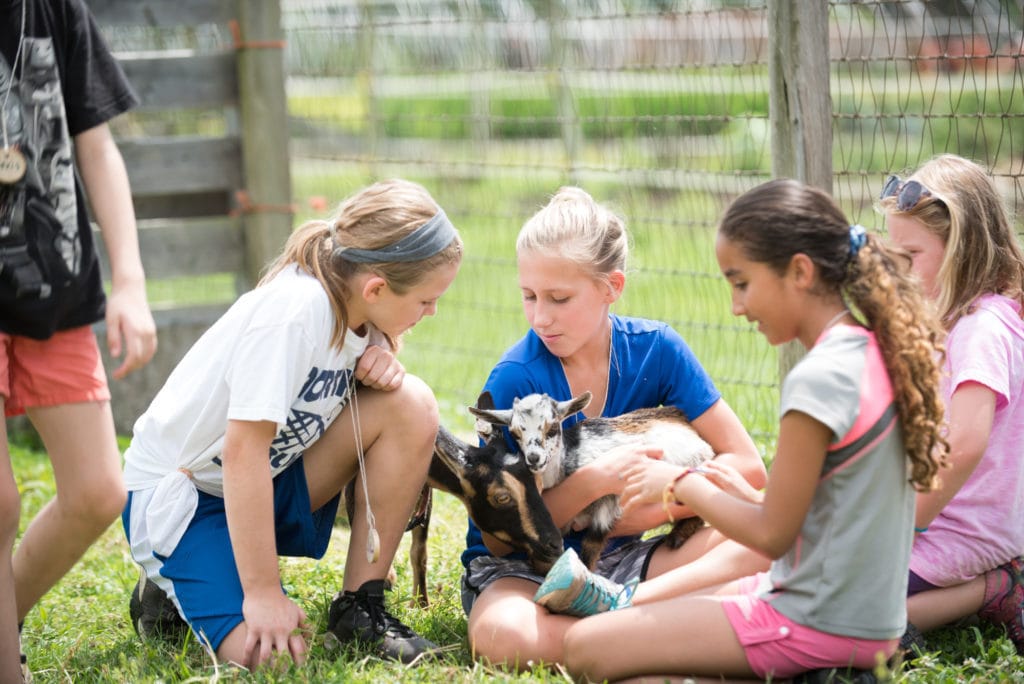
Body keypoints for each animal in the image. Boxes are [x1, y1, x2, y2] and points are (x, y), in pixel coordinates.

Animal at [468, 393, 712, 569]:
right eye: (515, 433)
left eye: (552, 427)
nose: (534, 458)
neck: (567, 462)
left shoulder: (608, 501)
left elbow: (591, 545)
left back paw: (677, 537)